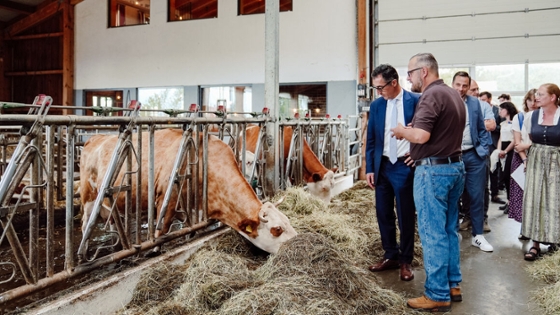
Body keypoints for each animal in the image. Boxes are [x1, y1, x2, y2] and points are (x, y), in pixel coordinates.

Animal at [81, 130, 298, 256]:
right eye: (277, 229)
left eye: (288, 221)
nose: (298, 242)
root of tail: (96, 138)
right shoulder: (167, 198)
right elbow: (162, 228)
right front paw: (154, 249)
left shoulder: (193, 209)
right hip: (88, 198)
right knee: (85, 226)